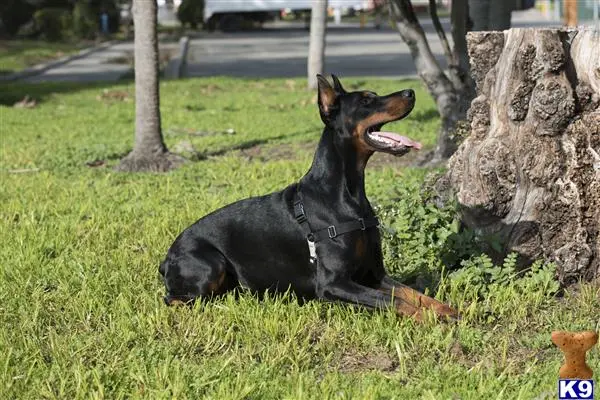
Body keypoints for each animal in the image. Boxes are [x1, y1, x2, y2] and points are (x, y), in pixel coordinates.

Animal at [159, 74, 454, 318]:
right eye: (366, 100)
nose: (411, 92)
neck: (347, 192)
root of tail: (166, 259)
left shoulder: (374, 274)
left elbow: (414, 294)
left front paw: (449, 312)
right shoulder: (332, 283)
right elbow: (394, 301)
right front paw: (431, 320)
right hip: (212, 263)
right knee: (174, 299)